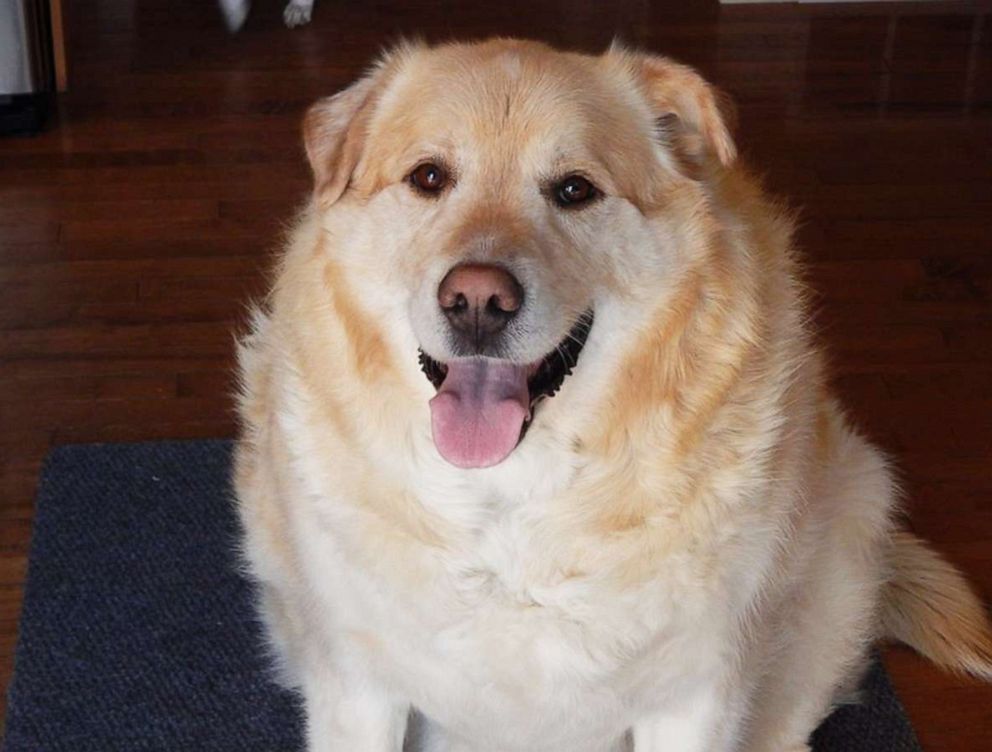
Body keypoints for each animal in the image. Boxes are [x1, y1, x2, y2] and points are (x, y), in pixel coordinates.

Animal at [234, 36, 992, 752]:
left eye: (574, 190)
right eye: (428, 177)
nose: (477, 301)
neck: (508, 504)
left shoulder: (693, 699)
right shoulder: (359, 690)